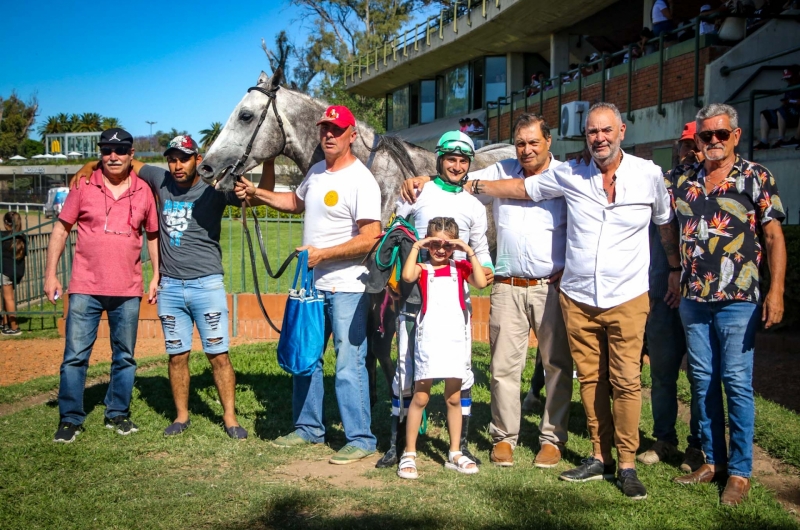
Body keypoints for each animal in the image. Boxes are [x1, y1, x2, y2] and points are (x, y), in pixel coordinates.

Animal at [197, 69, 516, 408]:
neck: (376, 178)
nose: (206, 167)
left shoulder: (386, 285)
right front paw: (372, 398)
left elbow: (380, 346)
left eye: (245, 115)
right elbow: (368, 346)